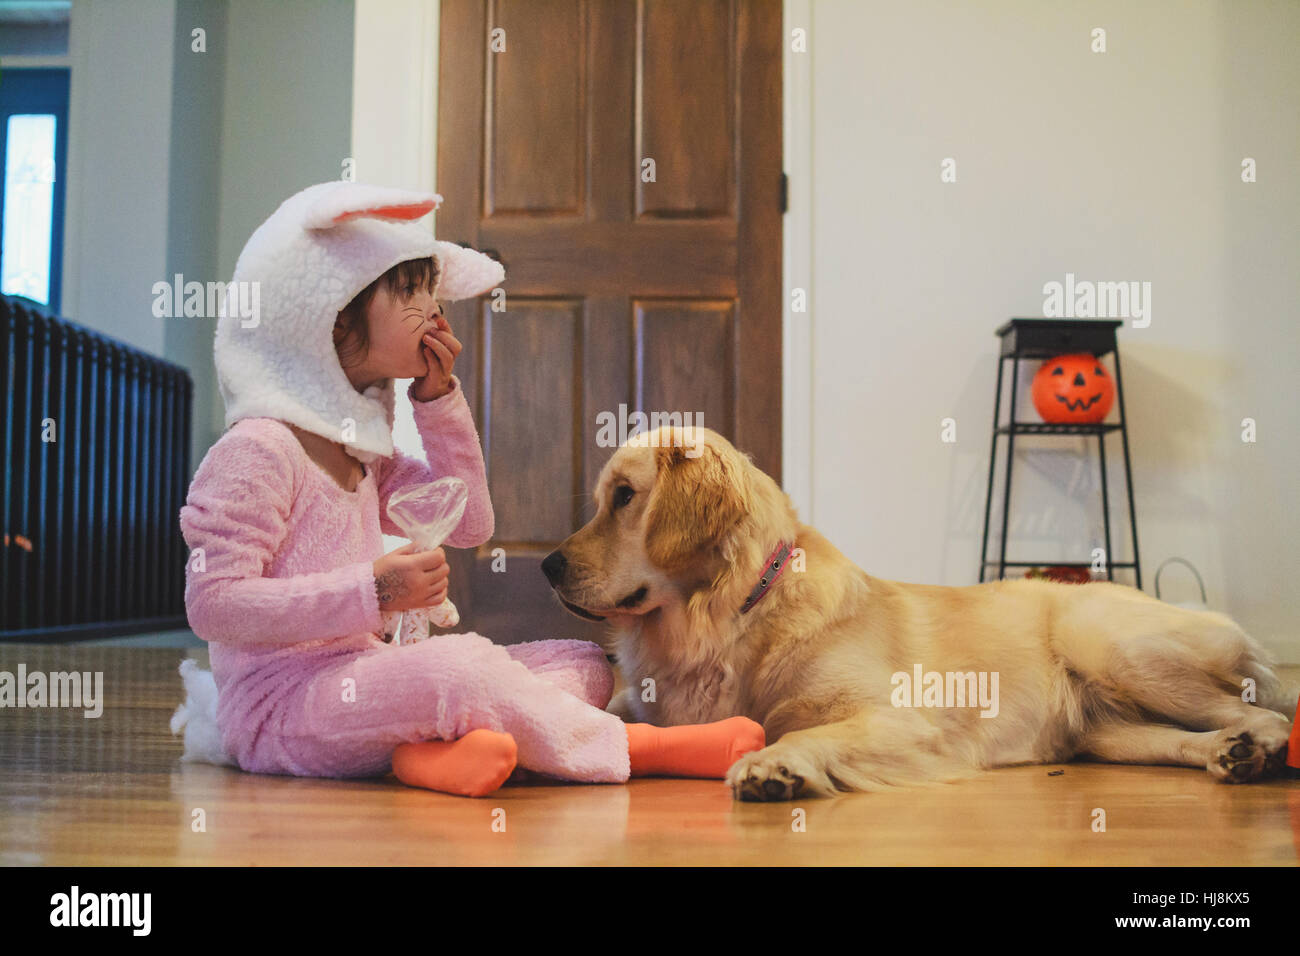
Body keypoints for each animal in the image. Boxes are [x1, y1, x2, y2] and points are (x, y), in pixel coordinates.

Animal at [540, 426, 1300, 801]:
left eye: (624, 497)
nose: (545, 565)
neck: (736, 614)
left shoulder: (899, 719)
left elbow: (804, 731)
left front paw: (774, 764)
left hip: (1112, 645)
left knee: (1268, 715)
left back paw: (1256, 747)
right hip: (1107, 730)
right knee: (1190, 735)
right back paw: (1230, 755)